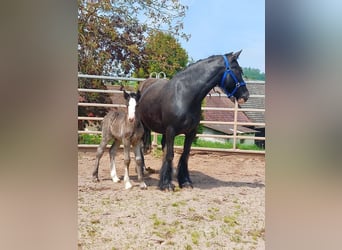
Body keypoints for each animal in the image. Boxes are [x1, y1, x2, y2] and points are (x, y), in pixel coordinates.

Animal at [138, 51, 250, 191]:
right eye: (238, 70)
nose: (245, 96)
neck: (184, 95)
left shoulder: (191, 132)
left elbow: (185, 155)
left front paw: (184, 181)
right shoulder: (171, 130)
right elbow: (170, 155)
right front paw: (166, 184)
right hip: (143, 126)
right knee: (142, 146)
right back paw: (143, 170)